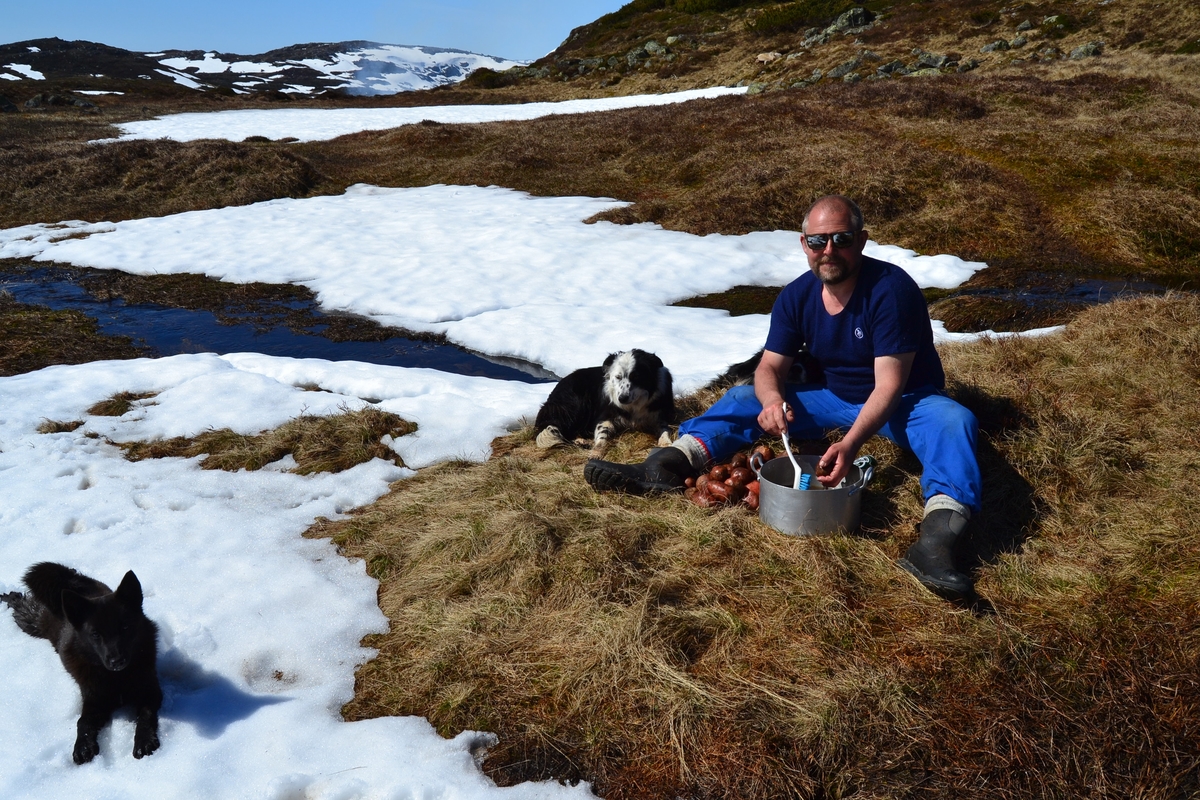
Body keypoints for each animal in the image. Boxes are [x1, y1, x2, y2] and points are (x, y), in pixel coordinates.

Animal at [2, 561, 162, 767]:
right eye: (95, 634)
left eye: (125, 627)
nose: (117, 661)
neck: (116, 677)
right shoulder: (93, 699)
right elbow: (83, 722)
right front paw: (83, 747)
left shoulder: (150, 691)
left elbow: (146, 715)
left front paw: (144, 740)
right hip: (30, 621)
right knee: (21, 605)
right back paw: (10, 597)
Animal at [535, 347, 676, 455]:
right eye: (618, 377)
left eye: (636, 377)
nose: (622, 399)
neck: (633, 406)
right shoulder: (605, 416)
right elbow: (602, 434)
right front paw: (596, 451)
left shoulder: (658, 416)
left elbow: (665, 430)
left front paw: (666, 444)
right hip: (577, 403)